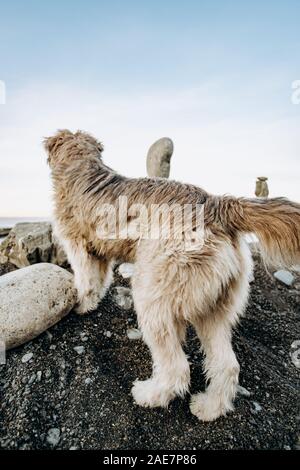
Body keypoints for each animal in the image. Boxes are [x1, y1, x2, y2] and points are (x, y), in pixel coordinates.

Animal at [45, 129, 300, 422]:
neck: (81, 167)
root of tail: (217, 204)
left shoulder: (78, 246)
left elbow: (86, 280)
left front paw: (81, 305)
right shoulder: (99, 252)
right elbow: (99, 279)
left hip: (152, 295)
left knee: (177, 368)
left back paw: (150, 395)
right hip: (214, 308)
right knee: (227, 365)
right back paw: (209, 408)